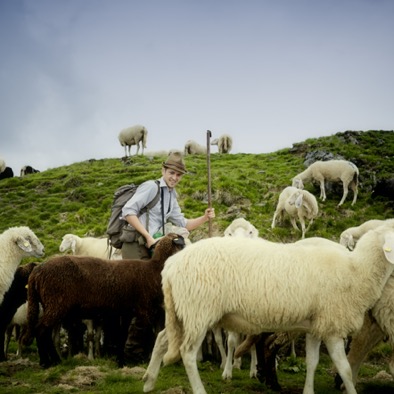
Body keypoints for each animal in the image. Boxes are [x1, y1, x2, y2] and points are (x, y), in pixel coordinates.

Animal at [23, 232, 185, 368]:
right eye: (181, 244)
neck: (154, 269)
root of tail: (36, 272)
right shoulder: (144, 310)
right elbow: (151, 335)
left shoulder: (126, 310)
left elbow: (122, 336)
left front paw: (121, 362)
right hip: (56, 304)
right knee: (41, 330)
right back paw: (48, 362)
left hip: (50, 304)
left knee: (43, 331)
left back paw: (49, 361)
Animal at [142, 225, 394, 394]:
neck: (357, 269)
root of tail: (171, 265)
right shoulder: (332, 326)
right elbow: (345, 368)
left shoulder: (317, 325)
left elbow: (312, 362)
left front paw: (308, 390)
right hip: (198, 311)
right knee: (187, 353)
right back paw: (198, 389)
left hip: (184, 312)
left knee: (163, 338)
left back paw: (149, 381)